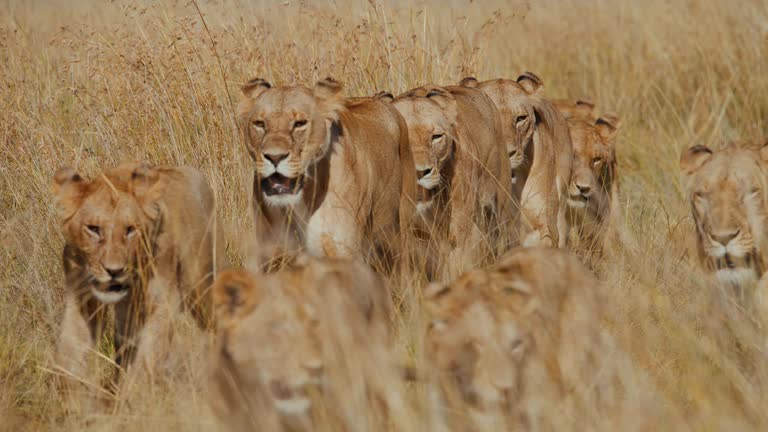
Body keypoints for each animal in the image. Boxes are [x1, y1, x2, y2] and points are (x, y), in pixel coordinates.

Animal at [52, 162, 226, 396]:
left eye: (130, 230)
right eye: (93, 229)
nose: (114, 270)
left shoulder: (164, 300)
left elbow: (148, 353)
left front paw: (134, 394)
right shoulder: (81, 297)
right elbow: (71, 348)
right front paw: (70, 396)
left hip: (202, 287)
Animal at [237, 77, 416, 267]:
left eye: (300, 123)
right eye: (259, 124)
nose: (275, 156)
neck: (303, 200)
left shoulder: (344, 255)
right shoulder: (274, 258)